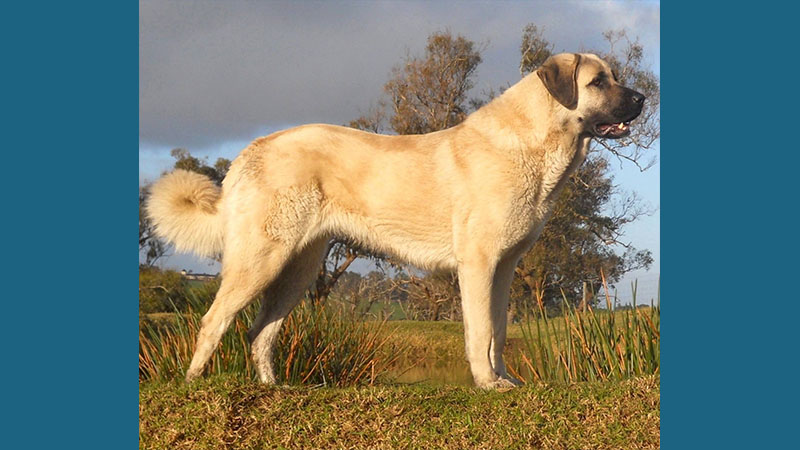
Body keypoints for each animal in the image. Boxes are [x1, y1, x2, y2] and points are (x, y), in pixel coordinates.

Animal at [147, 52, 644, 388]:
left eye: (615, 77)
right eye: (598, 81)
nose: (642, 97)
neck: (537, 141)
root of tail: (252, 148)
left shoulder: (504, 269)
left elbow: (499, 332)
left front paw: (504, 379)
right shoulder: (478, 264)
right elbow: (480, 330)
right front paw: (487, 384)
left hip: (298, 270)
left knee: (259, 331)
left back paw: (275, 388)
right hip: (261, 259)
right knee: (214, 321)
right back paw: (193, 384)